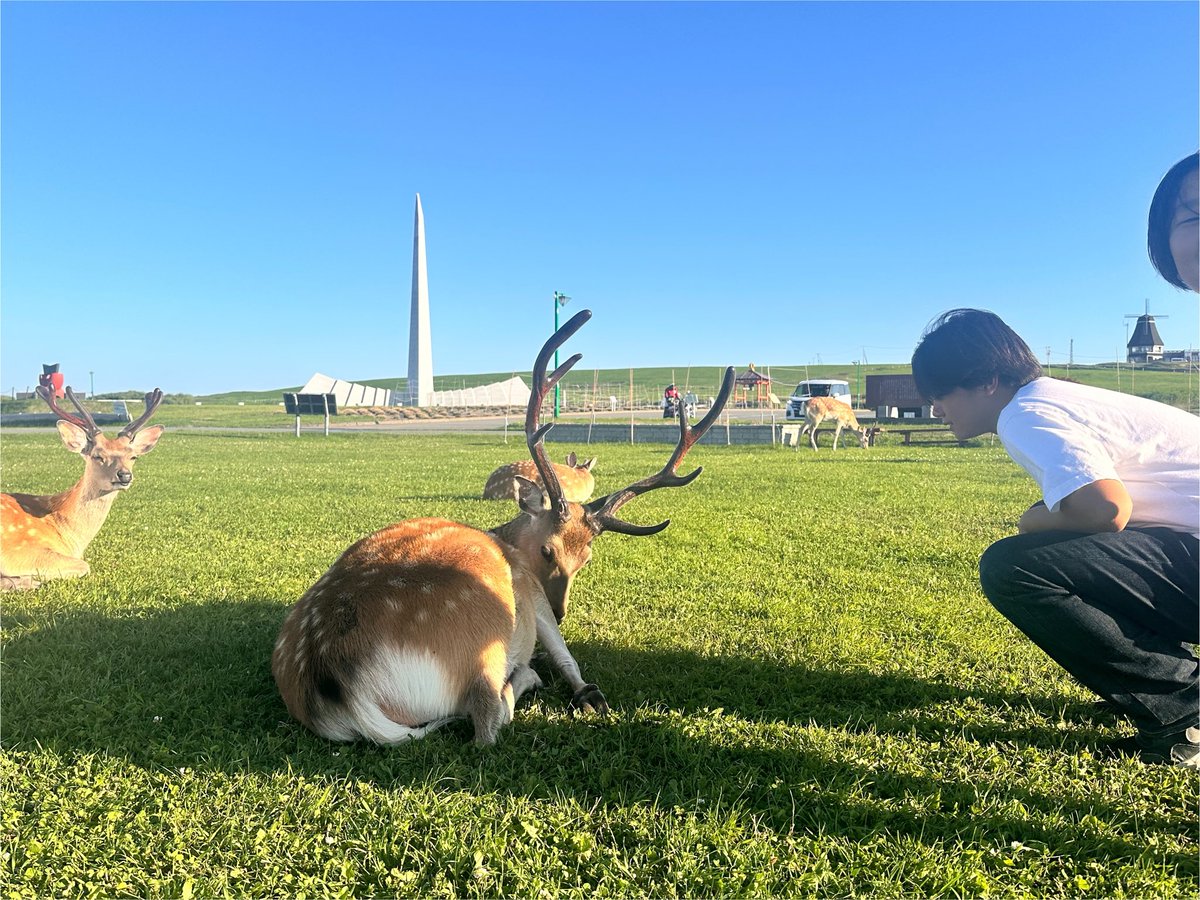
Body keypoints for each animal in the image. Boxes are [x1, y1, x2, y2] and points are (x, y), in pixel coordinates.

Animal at [1, 387, 164, 590]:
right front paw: (21, 581)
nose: (125, 476)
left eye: (133, 456)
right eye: (97, 456)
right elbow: (84, 566)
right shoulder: (17, 549)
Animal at [272, 309, 734, 745]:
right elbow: (566, 657)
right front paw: (586, 692)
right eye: (547, 549)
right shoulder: (532, 594)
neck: (505, 537)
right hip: (482, 642)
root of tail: (339, 684)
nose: (563, 611)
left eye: (587, 559)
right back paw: (527, 675)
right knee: (487, 717)